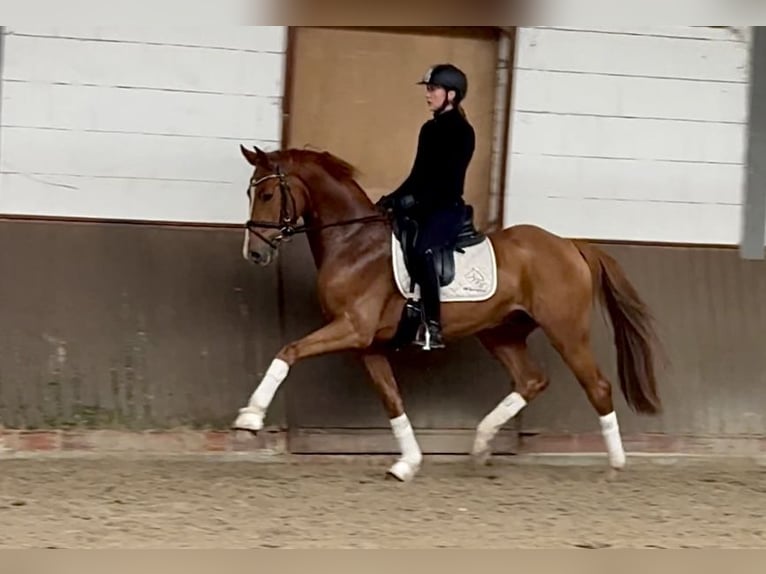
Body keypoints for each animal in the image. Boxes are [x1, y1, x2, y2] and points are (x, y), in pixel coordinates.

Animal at [232, 144, 665, 482]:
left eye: (267, 193)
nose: (254, 254)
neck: (354, 242)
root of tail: (569, 244)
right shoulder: (366, 345)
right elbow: (392, 399)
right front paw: (407, 463)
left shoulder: (352, 328)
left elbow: (288, 351)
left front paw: (250, 418)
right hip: (500, 333)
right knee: (531, 380)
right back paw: (481, 444)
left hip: (566, 332)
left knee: (598, 387)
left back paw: (615, 465)